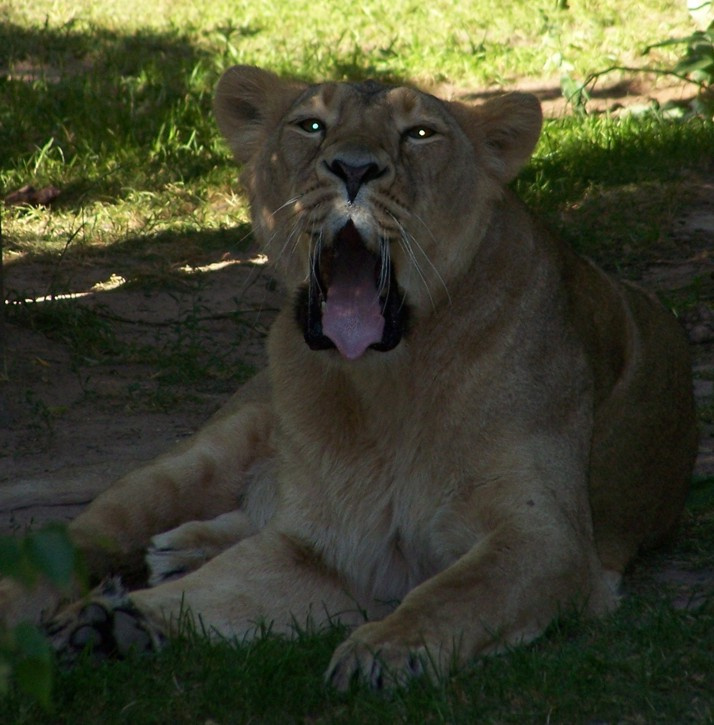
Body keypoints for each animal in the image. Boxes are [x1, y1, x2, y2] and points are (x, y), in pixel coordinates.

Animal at [0, 65, 698, 689]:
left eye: (420, 133)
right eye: (311, 125)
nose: (354, 169)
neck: (388, 384)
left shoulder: (548, 539)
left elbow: (455, 592)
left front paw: (384, 653)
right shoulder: (332, 550)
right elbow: (225, 589)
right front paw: (105, 623)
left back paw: (177, 550)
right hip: (207, 451)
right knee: (85, 534)